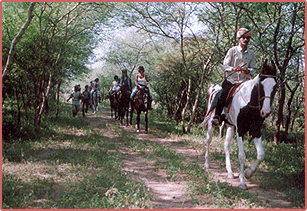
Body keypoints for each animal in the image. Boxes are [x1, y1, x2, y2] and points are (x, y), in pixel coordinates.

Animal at [203, 59, 278, 190]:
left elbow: (261, 155)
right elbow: (242, 156)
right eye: (261, 85)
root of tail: (214, 88)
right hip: (212, 123)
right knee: (208, 140)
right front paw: (242, 181)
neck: (248, 103)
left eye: (275, 87)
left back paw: (230, 172)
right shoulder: (241, 130)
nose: (265, 112)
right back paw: (207, 164)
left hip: (230, 126)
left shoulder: (255, 131)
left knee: (226, 146)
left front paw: (248, 173)